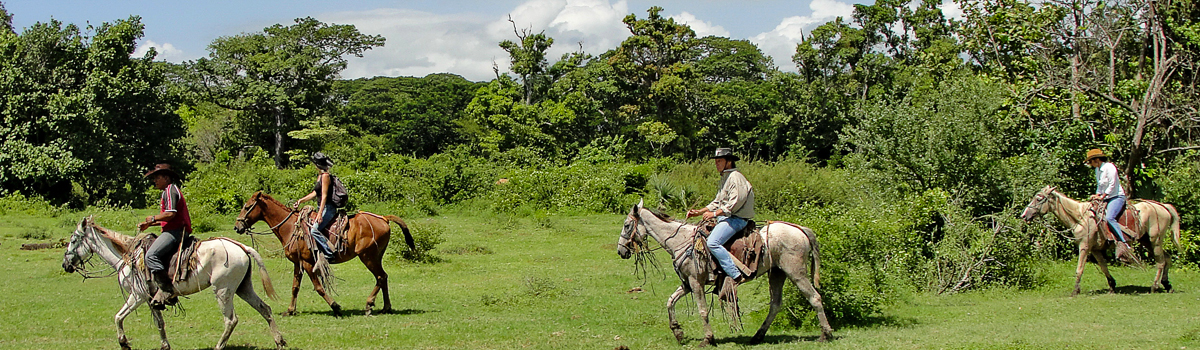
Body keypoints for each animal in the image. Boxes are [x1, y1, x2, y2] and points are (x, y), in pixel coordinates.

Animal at [60, 215, 285, 350]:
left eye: (73, 240)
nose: (65, 264)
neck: (128, 257)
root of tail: (241, 246)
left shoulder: (138, 296)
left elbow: (118, 317)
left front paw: (124, 343)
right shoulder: (151, 299)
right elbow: (159, 323)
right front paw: (164, 345)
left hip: (223, 291)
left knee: (231, 320)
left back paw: (219, 346)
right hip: (242, 288)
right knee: (264, 309)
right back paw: (279, 340)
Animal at [231, 191, 415, 316]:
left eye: (247, 207)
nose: (237, 226)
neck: (290, 227)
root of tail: (383, 218)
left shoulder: (308, 263)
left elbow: (318, 287)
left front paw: (335, 306)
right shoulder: (298, 263)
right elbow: (295, 287)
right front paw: (290, 310)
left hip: (368, 257)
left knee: (381, 277)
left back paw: (369, 305)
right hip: (376, 257)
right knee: (383, 277)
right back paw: (386, 307)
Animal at [614, 201, 830, 345]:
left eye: (627, 225)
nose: (621, 251)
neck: (681, 241)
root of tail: (800, 229)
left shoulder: (696, 283)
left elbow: (702, 311)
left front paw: (708, 339)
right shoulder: (687, 284)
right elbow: (670, 301)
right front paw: (678, 332)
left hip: (796, 273)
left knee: (815, 298)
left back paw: (825, 334)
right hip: (777, 273)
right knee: (776, 304)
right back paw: (757, 336)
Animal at [1022, 185, 1180, 294]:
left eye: (1039, 198)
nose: (1024, 215)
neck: (1081, 217)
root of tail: (1163, 206)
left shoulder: (1084, 246)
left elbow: (1079, 268)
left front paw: (1075, 291)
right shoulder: (1095, 249)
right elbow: (1104, 267)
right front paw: (1112, 286)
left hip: (1155, 240)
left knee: (1160, 262)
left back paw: (1154, 286)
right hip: (1146, 241)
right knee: (1167, 257)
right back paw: (1167, 285)